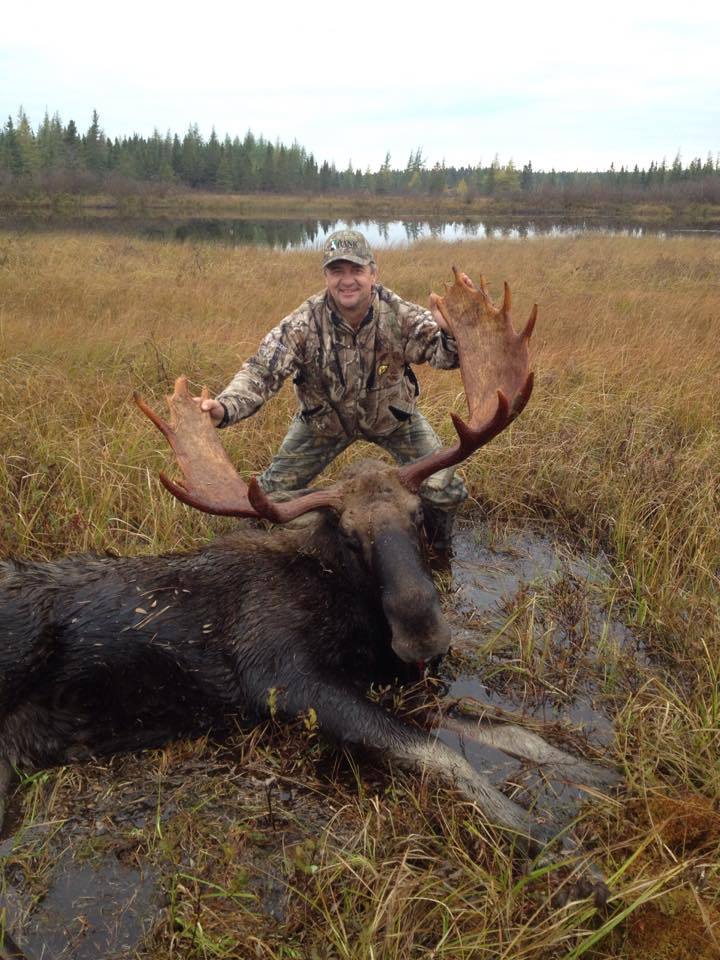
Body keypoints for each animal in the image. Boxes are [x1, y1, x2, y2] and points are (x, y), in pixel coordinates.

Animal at [0, 272, 612, 908]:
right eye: (349, 534)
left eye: (420, 515)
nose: (425, 640)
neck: (355, 618)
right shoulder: (284, 679)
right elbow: (443, 757)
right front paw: (564, 854)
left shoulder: (387, 679)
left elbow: (512, 731)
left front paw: (602, 774)